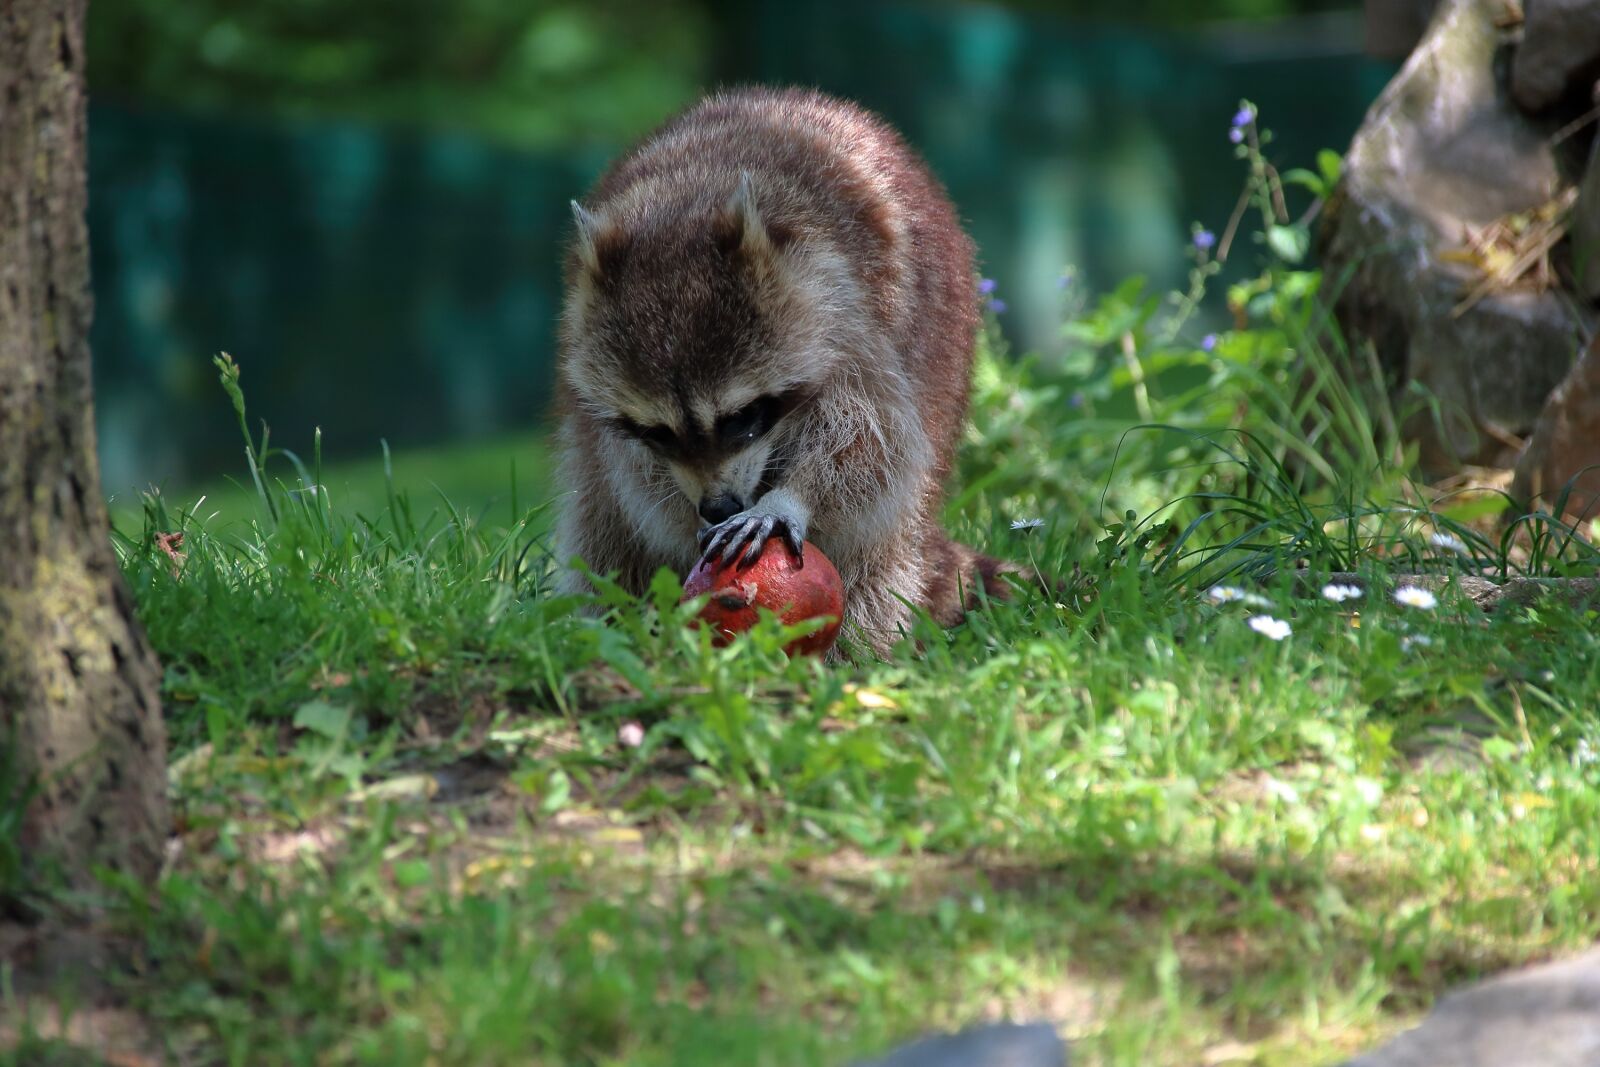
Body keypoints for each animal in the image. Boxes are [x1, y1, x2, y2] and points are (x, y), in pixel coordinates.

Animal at [552, 86, 1013, 653]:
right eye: (659, 434)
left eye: (741, 418)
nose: (718, 507)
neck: (682, 206)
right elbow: (637, 486)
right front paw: (683, 520)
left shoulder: (851, 318)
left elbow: (877, 444)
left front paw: (791, 498)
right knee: (601, 522)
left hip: (941, 361)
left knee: (883, 546)